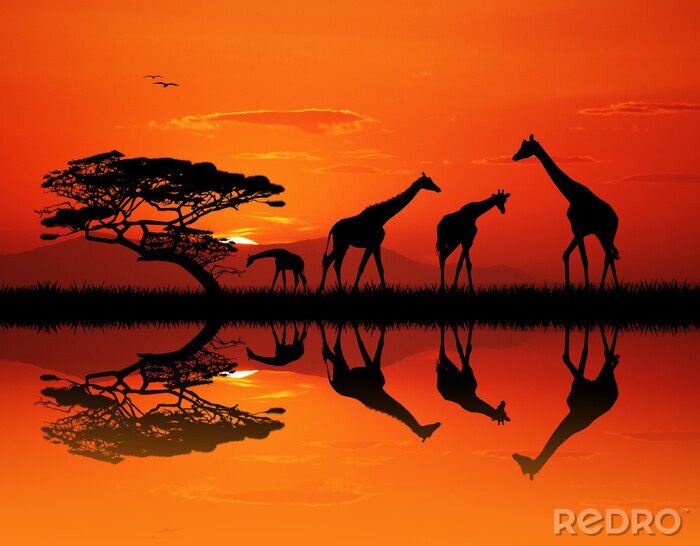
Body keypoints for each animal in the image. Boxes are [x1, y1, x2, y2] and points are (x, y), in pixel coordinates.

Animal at [512, 134, 620, 289]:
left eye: (526, 146)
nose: (514, 156)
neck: (571, 194)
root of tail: (617, 218)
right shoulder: (578, 231)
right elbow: (566, 254)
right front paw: (568, 287)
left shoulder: (578, 229)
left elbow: (584, 259)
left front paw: (587, 288)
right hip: (602, 235)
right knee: (609, 256)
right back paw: (605, 287)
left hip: (608, 233)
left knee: (609, 257)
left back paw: (608, 287)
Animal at [512, 324, 620, 480]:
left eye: (524, 465)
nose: (515, 455)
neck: (574, 418)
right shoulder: (580, 383)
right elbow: (574, 355)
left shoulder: (578, 385)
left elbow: (574, 354)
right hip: (604, 375)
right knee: (608, 357)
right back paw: (615, 358)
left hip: (602, 377)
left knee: (607, 353)